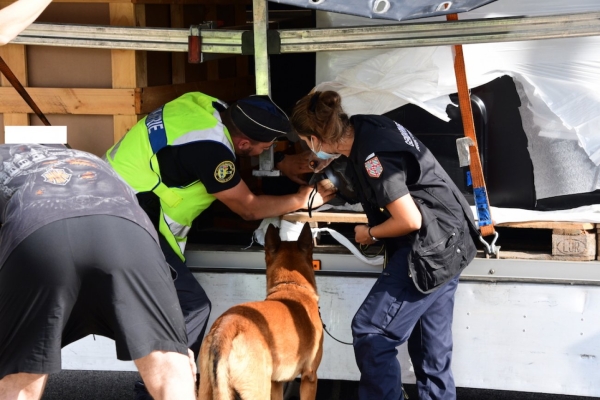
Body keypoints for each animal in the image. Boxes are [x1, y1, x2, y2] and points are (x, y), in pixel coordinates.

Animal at [198, 223, 324, 398]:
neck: (290, 286)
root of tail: (226, 326)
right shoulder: (309, 378)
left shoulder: (276, 383)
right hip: (259, 390)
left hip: (205, 388)